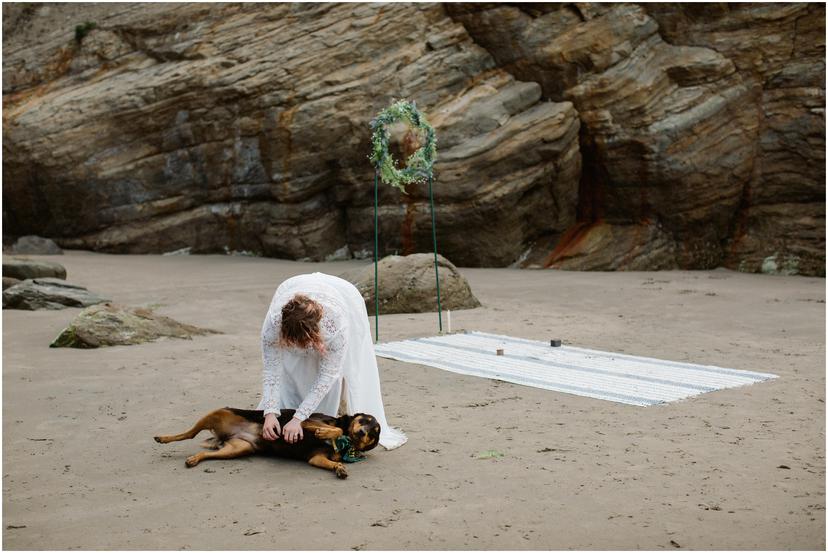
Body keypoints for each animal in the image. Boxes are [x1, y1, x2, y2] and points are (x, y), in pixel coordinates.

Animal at [154, 406, 382, 478]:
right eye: (365, 420)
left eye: (374, 431)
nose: (363, 432)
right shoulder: (305, 422)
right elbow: (335, 429)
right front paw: (325, 433)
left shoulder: (316, 458)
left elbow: (333, 462)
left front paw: (340, 468)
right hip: (217, 413)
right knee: (189, 434)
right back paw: (162, 438)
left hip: (237, 449)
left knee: (207, 454)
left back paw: (194, 459)